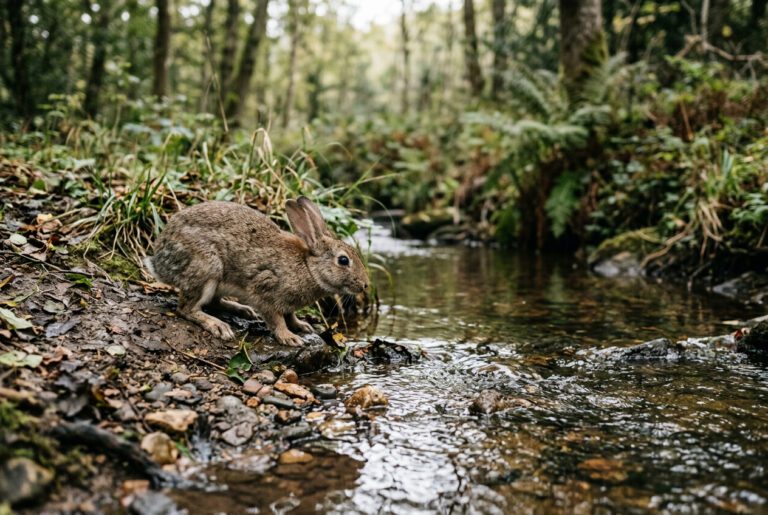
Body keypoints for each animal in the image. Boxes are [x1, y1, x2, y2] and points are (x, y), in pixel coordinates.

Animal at [143, 197, 369, 346]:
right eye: (343, 260)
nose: (365, 284)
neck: (308, 267)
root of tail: (160, 261)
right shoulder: (265, 289)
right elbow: (276, 319)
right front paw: (289, 338)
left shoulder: (288, 303)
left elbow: (290, 315)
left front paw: (302, 326)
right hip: (207, 269)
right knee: (187, 309)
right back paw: (218, 326)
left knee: (214, 302)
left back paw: (242, 310)